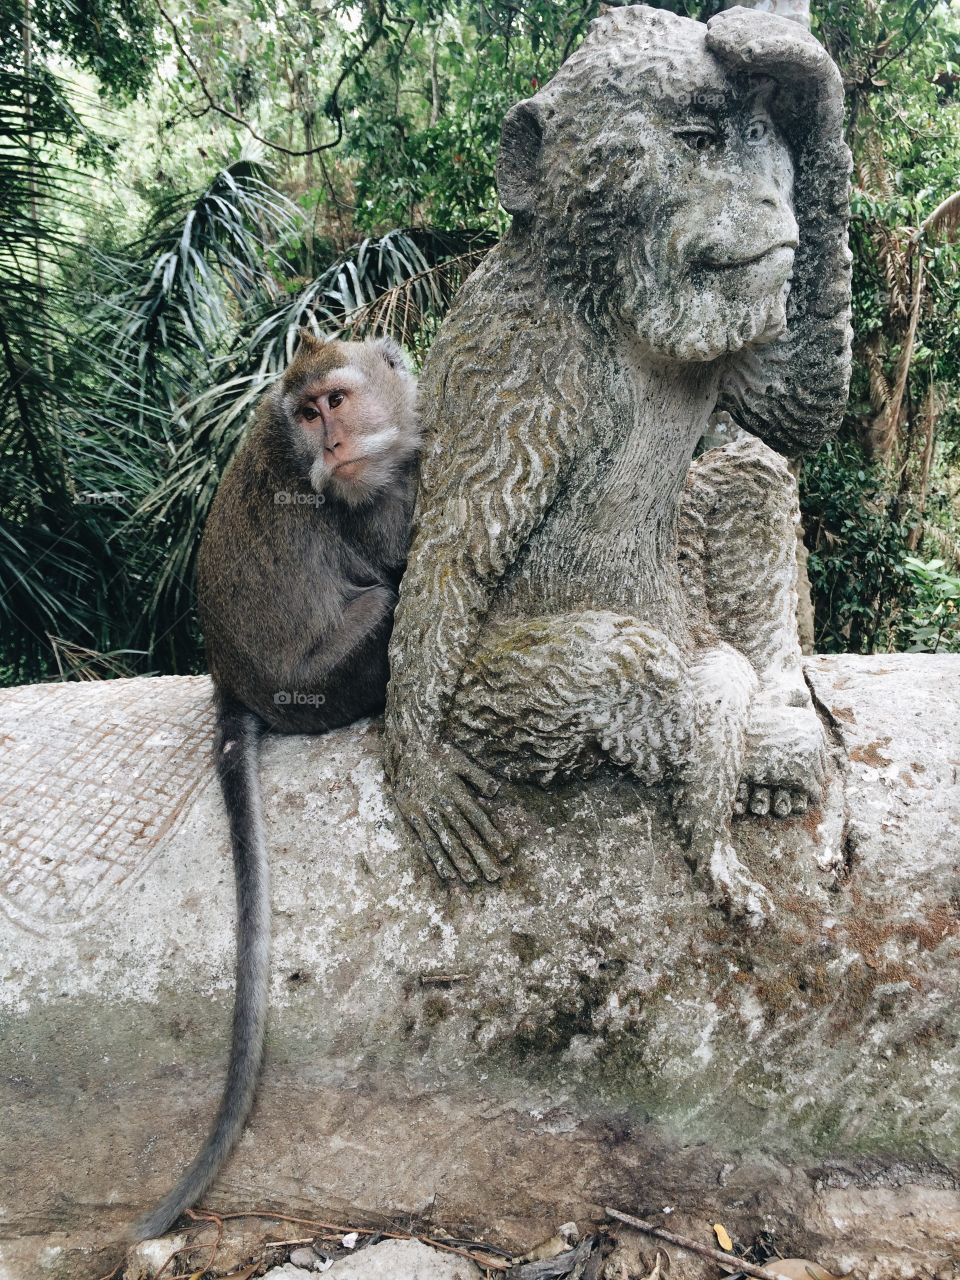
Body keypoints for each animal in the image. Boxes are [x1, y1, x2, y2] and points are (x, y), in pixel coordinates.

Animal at [133, 331, 419, 1240]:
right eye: (306, 412)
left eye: (334, 400)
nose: (329, 442)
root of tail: (231, 679)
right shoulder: (372, 506)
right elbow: (394, 559)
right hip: (327, 682)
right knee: (384, 607)